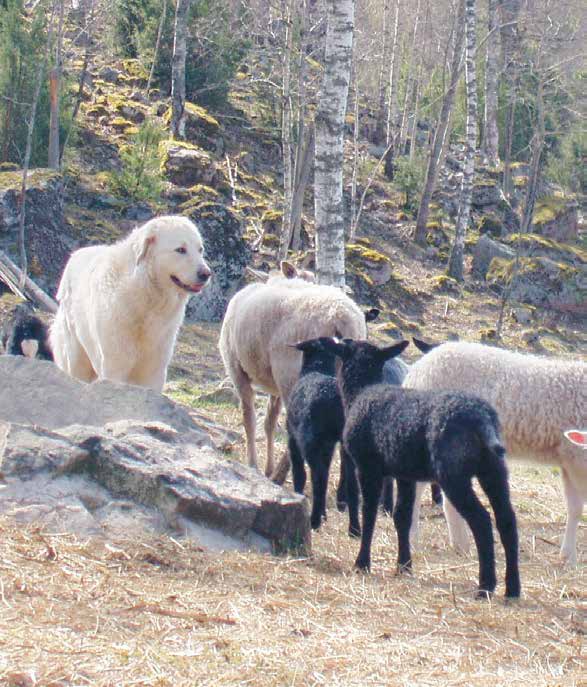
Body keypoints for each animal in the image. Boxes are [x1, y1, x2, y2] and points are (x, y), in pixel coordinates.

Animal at [50, 215, 211, 392]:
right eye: (180, 250)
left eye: (200, 250)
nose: (206, 274)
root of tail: (76, 253)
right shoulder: (114, 366)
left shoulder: (155, 369)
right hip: (76, 354)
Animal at [406, 342, 584, 568]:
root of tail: (418, 369)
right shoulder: (577, 456)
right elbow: (578, 507)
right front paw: (570, 558)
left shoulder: (568, 457)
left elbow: (573, 508)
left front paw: (567, 556)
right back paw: (413, 539)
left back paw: (461, 546)